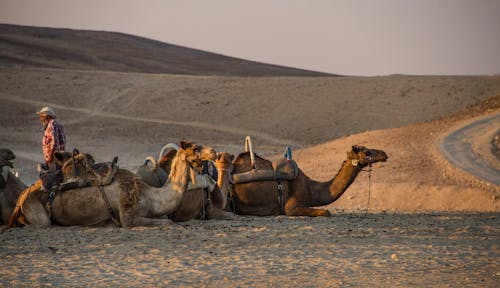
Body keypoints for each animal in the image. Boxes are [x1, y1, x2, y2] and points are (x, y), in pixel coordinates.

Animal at [6, 141, 217, 227]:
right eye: (195, 148)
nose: (214, 152)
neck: (150, 196)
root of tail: (24, 194)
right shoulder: (128, 217)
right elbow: (168, 222)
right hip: (37, 212)